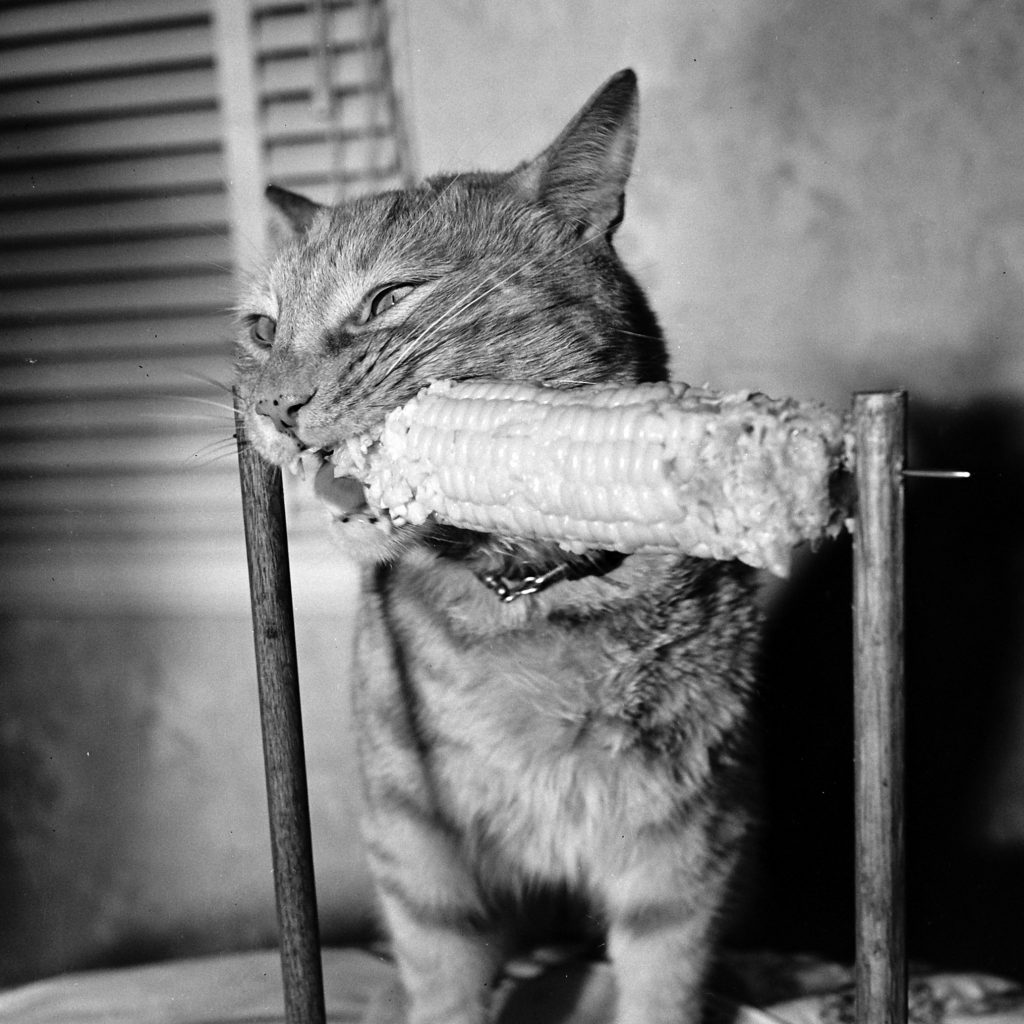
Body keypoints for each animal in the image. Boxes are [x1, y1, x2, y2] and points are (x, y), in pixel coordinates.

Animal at [234, 70, 761, 1024]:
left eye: (388, 299)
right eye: (263, 328)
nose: (274, 407)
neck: (533, 588)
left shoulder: (688, 833)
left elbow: (664, 975)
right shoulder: (415, 834)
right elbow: (441, 971)